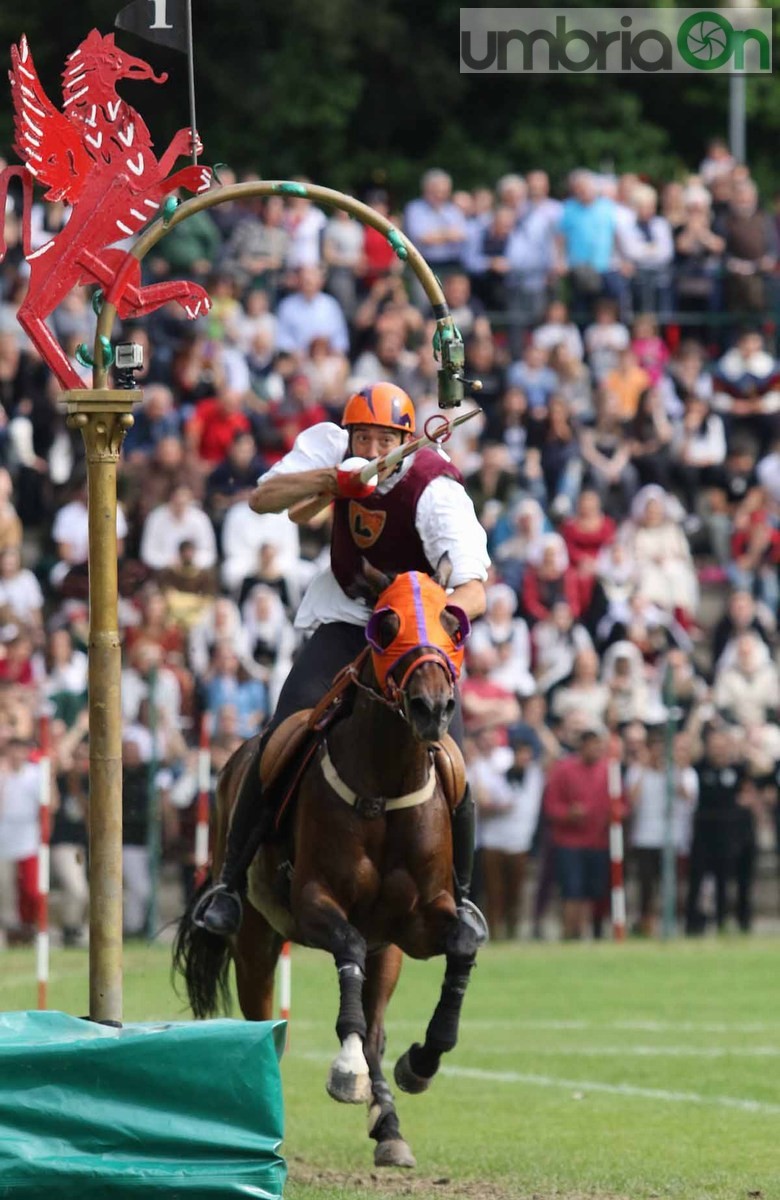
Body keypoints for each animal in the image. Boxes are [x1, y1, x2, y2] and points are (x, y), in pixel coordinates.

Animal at [172, 566, 480, 1166]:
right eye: (385, 626)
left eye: (453, 624)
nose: (432, 708)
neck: (385, 785)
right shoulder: (315, 902)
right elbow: (347, 947)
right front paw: (345, 1068)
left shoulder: (417, 921)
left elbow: (460, 943)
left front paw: (420, 1063)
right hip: (254, 937)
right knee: (262, 1018)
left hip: (389, 951)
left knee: (378, 1022)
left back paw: (390, 1127)